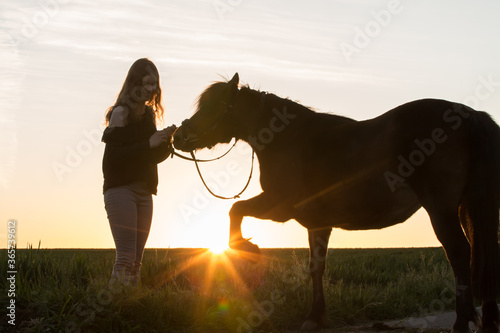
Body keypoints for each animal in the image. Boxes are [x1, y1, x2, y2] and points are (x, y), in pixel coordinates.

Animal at [174, 74, 498, 330]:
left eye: (212, 107)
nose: (179, 136)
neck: (288, 139)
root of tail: (470, 115)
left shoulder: (279, 207)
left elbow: (235, 210)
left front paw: (246, 248)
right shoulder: (318, 224)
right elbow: (317, 266)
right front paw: (316, 316)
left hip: (441, 210)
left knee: (459, 255)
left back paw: (461, 322)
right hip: (469, 208)